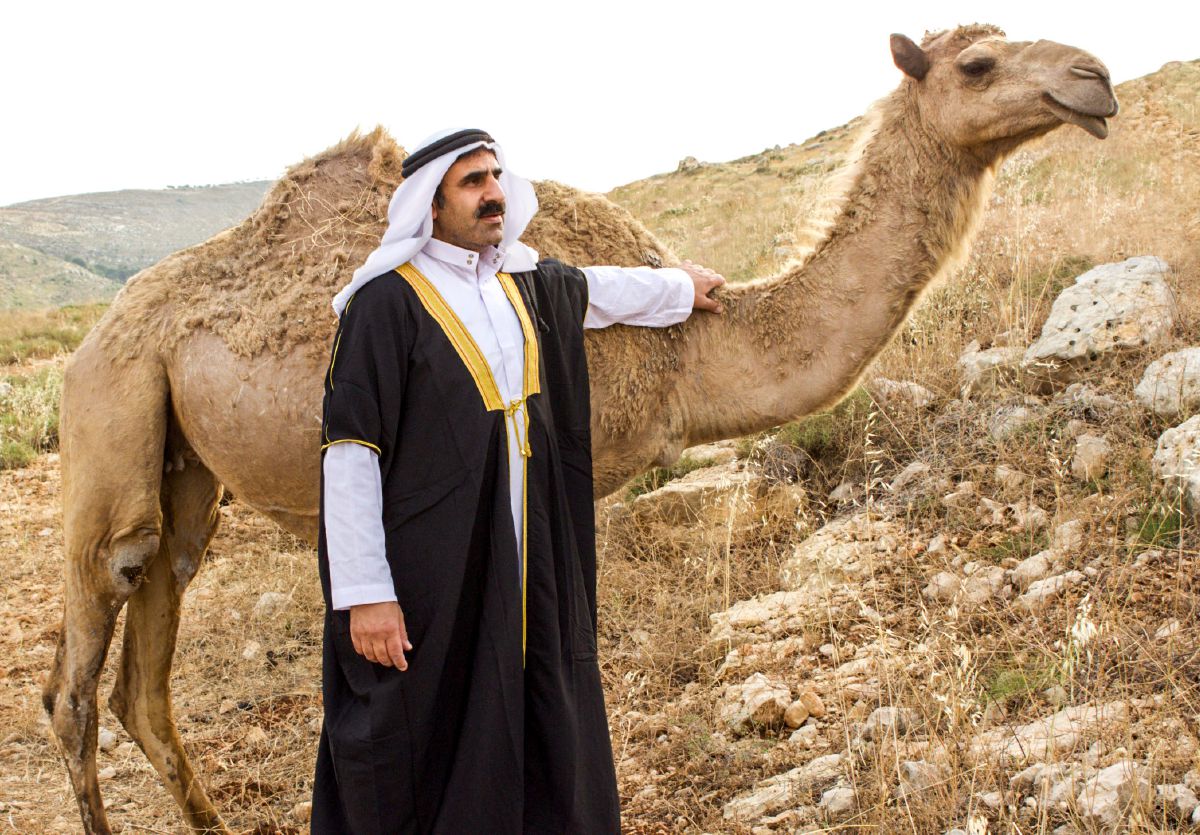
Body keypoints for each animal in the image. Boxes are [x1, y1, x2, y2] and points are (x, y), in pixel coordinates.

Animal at [44, 24, 1117, 833]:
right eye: (978, 64)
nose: (1094, 78)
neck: (688, 359)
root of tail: (91, 341)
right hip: (110, 418)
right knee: (82, 664)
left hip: (187, 472)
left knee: (147, 665)